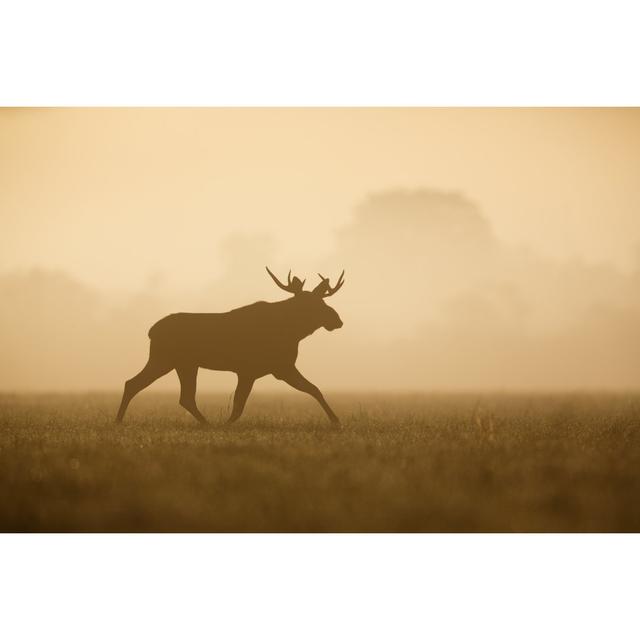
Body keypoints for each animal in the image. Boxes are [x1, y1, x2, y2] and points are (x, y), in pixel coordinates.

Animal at [115, 268, 344, 424]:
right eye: (312, 304)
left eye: (323, 302)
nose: (337, 320)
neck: (293, 333)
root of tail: (151, 331)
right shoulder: (256, 369)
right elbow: (239, 405)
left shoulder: (278, 368)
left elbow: (314, 389)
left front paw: (336, 421)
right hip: (165, 358)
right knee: (136, 384)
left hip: (183, 364)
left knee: (178, 395)